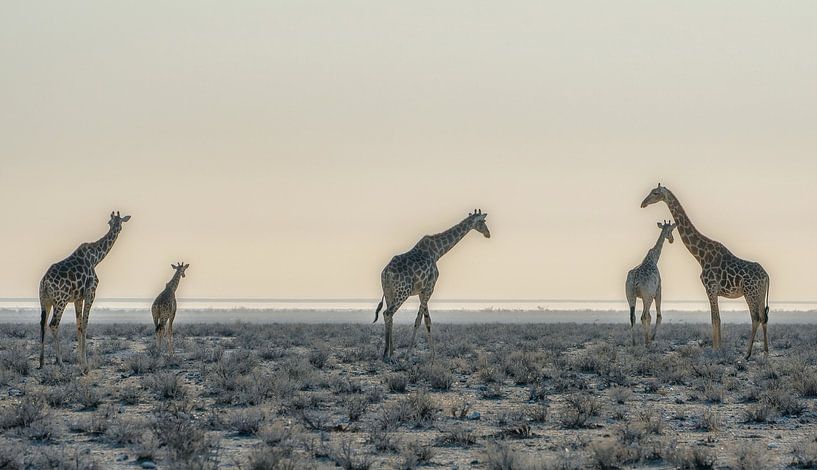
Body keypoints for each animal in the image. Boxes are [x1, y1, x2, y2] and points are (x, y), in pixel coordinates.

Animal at [38, 211, 131, 370]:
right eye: (113, 222)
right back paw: (60, 362)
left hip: (45, 301)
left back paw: (42, 362)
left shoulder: (78, 298)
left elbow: (79, 325)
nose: (118, 229)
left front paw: (80, 360)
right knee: (53, 324)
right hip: (60, 301)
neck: (96, 259)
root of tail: (44, 282)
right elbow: (85, 324)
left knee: (43, 324)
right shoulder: (90, 293)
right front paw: (85, 364)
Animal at [372, 211, 490, 362]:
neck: (438, 252)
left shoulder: (422, 290)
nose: (488, 233)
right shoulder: (430, 287)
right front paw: (408, 354)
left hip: (389, 292)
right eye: (483, 221)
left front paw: (433, 355)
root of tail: (386, 272)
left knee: (389, 315)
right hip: (402, 291)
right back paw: (386, 354)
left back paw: (391, 353)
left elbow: (427, 320)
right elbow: (418, 319)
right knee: (388, 313)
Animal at [640, 182, 768, 358]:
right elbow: (717, 318)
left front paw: (715, 349)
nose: (643, 203)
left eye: (655, 193)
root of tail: (767, 276)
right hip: (760, 294)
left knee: (755, 318)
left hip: (751, 293)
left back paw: (747, 354)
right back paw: (766, 352)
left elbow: (715, 319)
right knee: (763, 317)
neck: (700, 256)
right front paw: (719, 348)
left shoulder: (710, 288)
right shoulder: (714, 291)